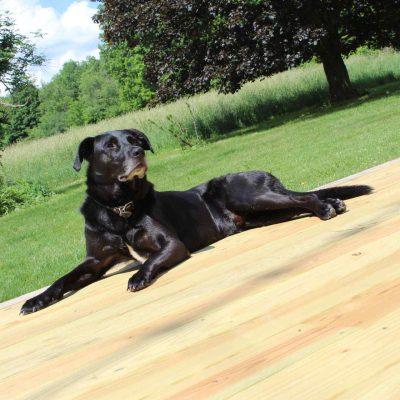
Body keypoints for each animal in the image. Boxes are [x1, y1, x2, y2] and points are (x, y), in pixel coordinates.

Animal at [21, 130, 372, 314]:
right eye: (111, 146)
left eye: (133, 139)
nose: (138, 152)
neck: (119, 208)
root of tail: (264, 173)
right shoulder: (95, 261)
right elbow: (63, 279)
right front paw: (37, 300)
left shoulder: (171, 244)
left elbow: (152, 261)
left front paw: (139, 277)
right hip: (261, 215)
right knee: (299, 203)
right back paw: (333, 203)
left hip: (252, 196)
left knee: (306, 197)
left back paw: (327, 207)